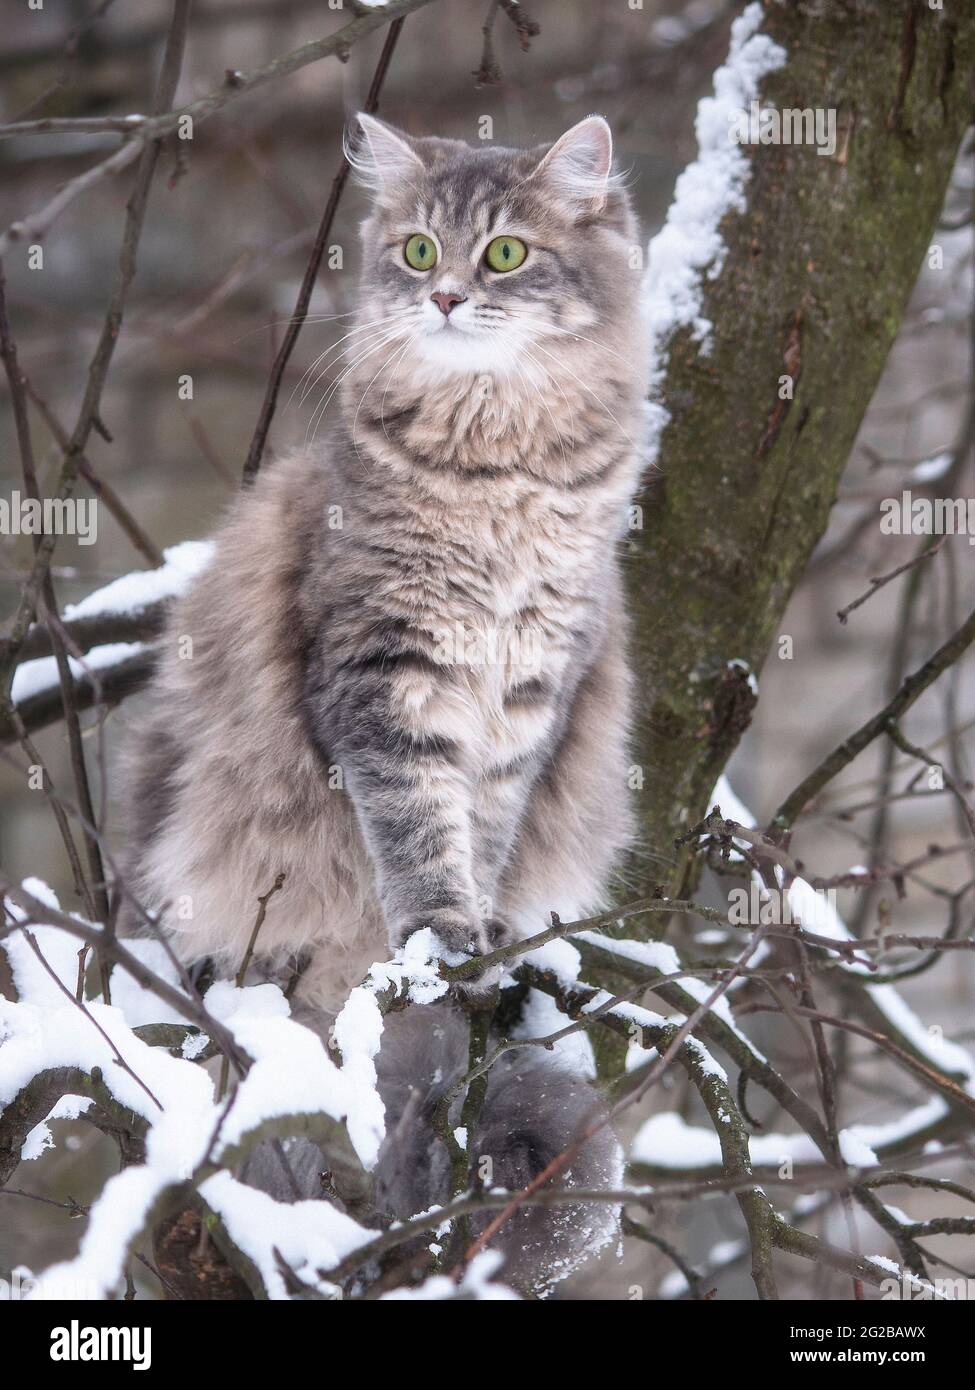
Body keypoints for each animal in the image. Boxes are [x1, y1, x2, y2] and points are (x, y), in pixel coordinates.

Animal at [123, 113, 653, 1295]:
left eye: (503, 253)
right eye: (417, 250)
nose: (447, 296)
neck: (499, 464)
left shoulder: (530, 691)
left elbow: (481, 828)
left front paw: (478, 928)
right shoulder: (382, 672)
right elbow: (414, 823)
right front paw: (438, 933)